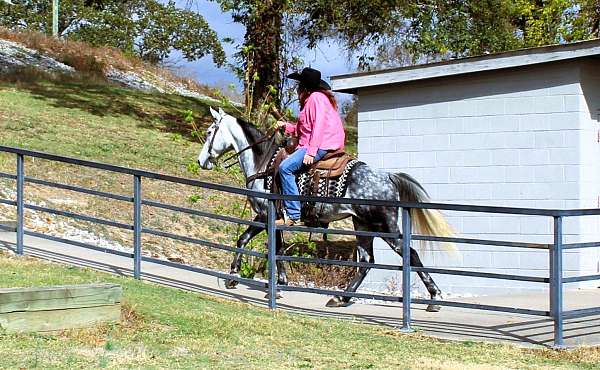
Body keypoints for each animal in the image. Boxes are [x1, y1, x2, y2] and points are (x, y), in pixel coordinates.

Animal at [198, 107, 454, 310]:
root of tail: (388, 177)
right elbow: (256, 242)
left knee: (410, 254)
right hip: (362, 225)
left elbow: (263, 244)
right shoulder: (270, 217)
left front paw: (266, 283)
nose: (202, 161)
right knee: (367, 260)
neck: (264, 163)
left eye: (210, 132)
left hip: (386, 227)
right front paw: (241, 276)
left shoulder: (265, 214)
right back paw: (340, 298)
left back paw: (434, 298)